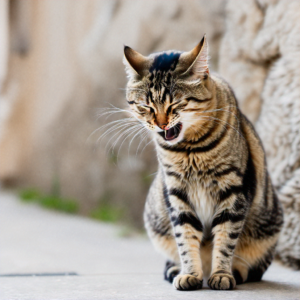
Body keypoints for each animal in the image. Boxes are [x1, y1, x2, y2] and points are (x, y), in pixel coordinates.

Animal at [122, 35, 284, 290]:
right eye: (146, 107)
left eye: (174, 105)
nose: (160, 124)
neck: (190, 151)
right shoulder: (177, 193)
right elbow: (185, 237)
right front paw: (190, 273)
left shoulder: (233, 191)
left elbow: (225, 238)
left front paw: (221, 274)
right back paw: (178, 269)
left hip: (269, 224)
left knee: (255, 265)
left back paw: (234, 271)